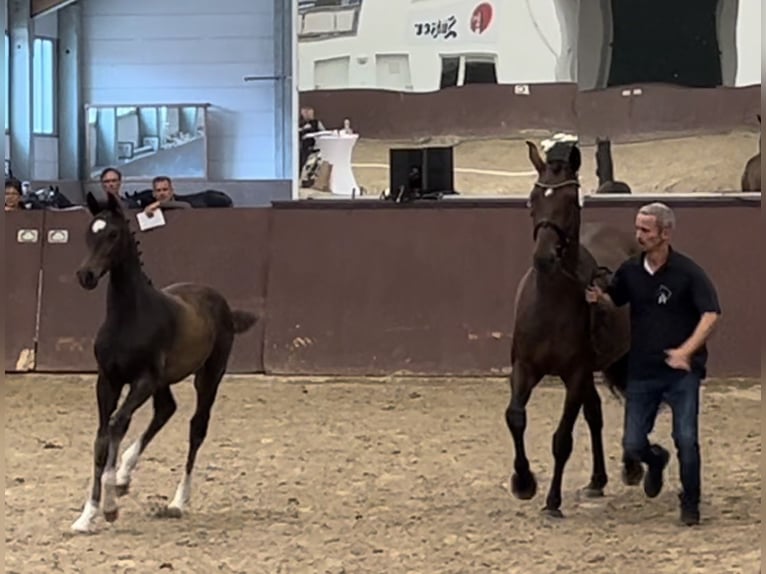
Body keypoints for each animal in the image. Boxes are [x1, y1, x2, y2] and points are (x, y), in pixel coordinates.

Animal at [70, 194, 255, 536]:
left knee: (196, 428)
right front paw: (87, 515)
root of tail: (221, 302)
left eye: (113, 234)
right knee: (166, 409)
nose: (85, 275)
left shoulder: (142, 380)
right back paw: (126, 476)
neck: (130, 316)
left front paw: (111, 506)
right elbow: (102, 437)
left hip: (208, 376)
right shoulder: (108, 380)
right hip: (163, 381)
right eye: (89, 232)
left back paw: (178, 501)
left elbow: (117, 423)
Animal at [508, 141, 644, 520]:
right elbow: (515, 418)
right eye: (532, 199)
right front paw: (523, 482)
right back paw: (597, 480)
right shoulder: (525, 368)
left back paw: (631, 467)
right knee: (595, 413)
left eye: (570, 200)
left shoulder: (576, 373)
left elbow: (562, 439)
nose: (544, 258)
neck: (551, 302)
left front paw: (552, 501)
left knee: (631, 402)